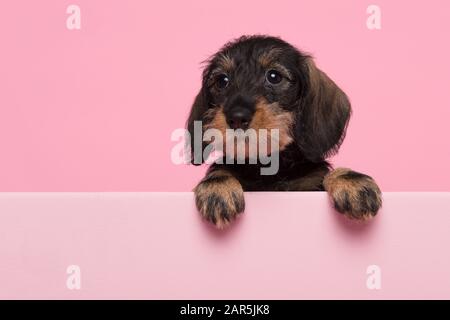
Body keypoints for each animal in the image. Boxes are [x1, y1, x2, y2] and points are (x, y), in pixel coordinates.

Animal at [185, 35, 380, 229]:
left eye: (274, 76)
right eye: (222, 81)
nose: (237, 117)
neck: (266, 166)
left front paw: (351, 181)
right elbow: (221, 170)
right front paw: (217, 187)